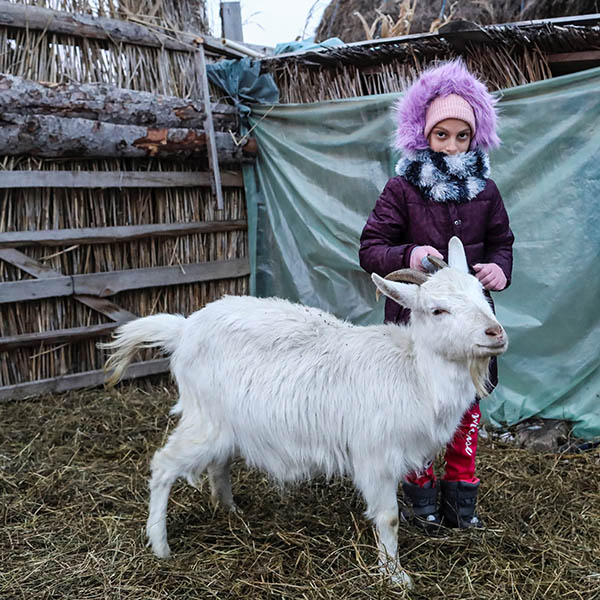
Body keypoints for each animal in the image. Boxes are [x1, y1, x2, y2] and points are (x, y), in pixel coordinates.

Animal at [102, 236, 506, 584]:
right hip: (205, 419)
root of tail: (183, 329)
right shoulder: (375, 455)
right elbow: (388, 518)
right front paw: (395, 576)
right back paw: (160, 545)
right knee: (164, 464)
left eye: (481, 294)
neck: (414, 371)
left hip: (228, 423)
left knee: (218, 463)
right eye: (438, 310)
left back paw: (229, 509)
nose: (496, 333)